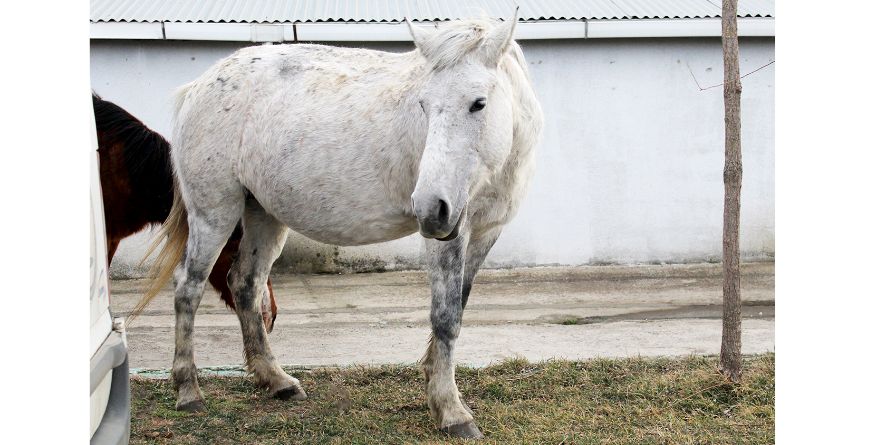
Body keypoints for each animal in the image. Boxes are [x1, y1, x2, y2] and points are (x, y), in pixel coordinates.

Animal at [143, 13, 544, 438]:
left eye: (478, 103)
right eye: (423, 104)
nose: (430, 207)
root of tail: (200, 85)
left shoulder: (484, 234)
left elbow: (459, 310)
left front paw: (439, 392)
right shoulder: (450, 234)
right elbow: (446, 316)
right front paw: (452, 412)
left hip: (263, 214)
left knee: (245, 284)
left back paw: (277, 381)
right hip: (213, 213)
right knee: (189, 288)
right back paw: (188, 390)